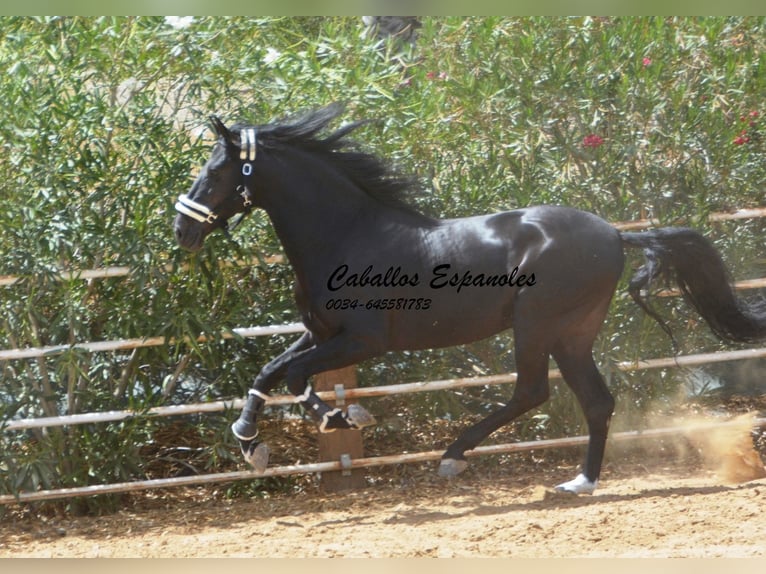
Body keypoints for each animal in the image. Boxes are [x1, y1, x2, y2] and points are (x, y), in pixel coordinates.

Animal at [174, 102, 766, 496]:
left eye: (216, 170)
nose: (183, 228)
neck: (345, 233)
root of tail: (617, 235)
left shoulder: (364, 340)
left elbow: (295, 376)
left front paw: (344, 418)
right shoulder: (322, 332)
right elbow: (271, 370)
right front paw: (251, 443)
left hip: (538, 324)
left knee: (532, 391)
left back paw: (454, 456)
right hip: (573, 332)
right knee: (595, 401)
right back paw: (578, 482)